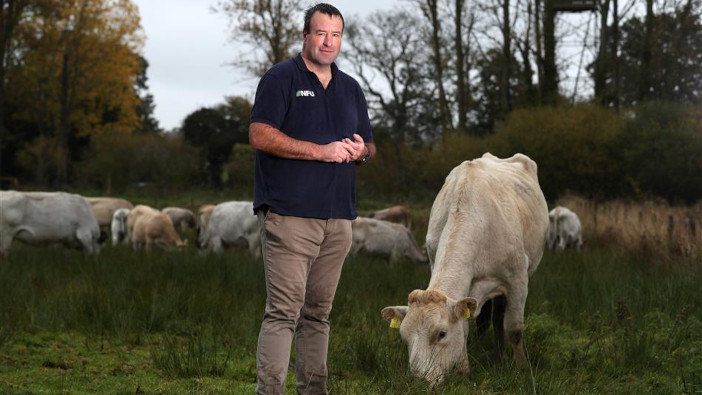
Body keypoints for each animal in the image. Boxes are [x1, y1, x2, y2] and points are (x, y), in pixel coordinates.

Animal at [380, 153, 552, 386]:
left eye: (441, 334)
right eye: (404, 336)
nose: (418, 380)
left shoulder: (517, 280)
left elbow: (514, 329)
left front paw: (522, 368)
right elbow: (465, 326)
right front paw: (464, 369)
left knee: (499, 318)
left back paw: (500, 357)